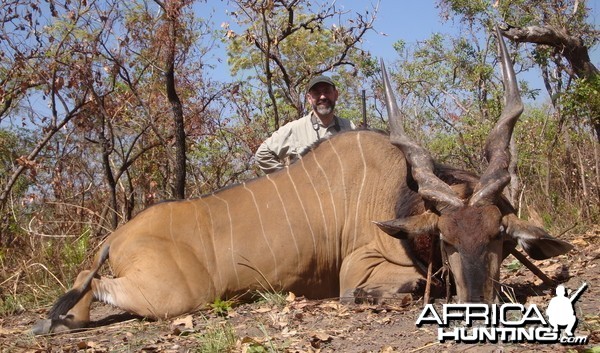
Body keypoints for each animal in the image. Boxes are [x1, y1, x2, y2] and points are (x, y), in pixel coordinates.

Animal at [32, 28, 572, 332]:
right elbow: (398, 287)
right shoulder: (360, 270)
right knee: (93, 284)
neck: (400, 198)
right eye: (445, 239)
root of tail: (117, 236)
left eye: (498, 236)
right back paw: (53, 323)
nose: (477, 303)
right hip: (172, 296)